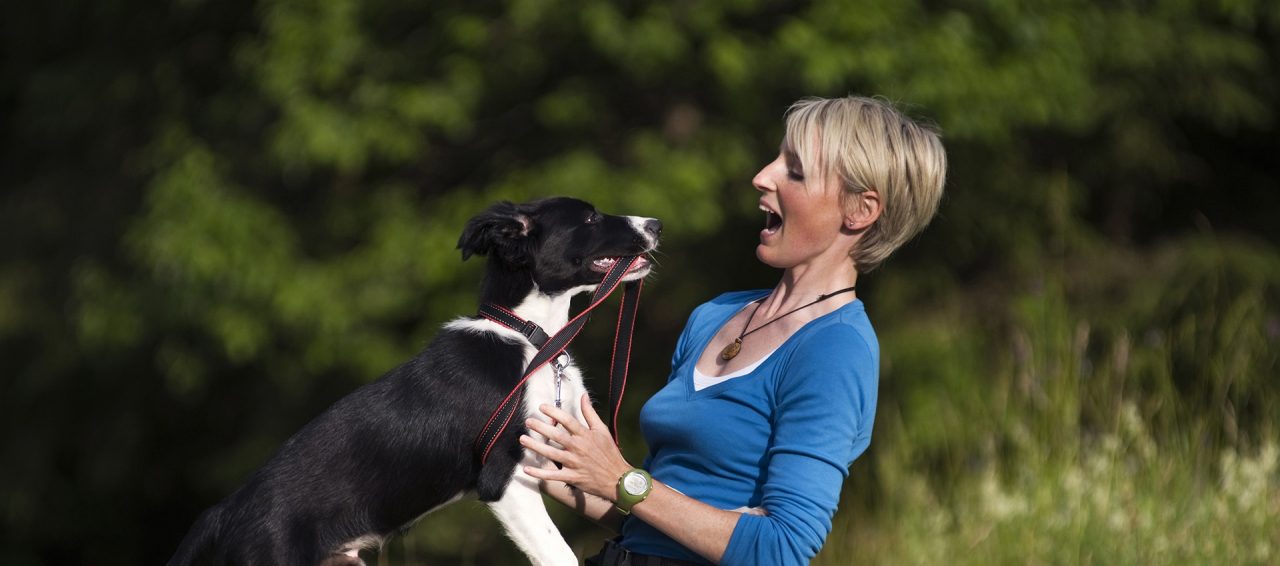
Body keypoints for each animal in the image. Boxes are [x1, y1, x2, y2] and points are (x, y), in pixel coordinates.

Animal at [170, 197, 665, 563]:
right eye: (590, 218)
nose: (657, 224)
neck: (530, 336)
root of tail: (223, 511)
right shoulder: (503, 480)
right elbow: (559, 554)